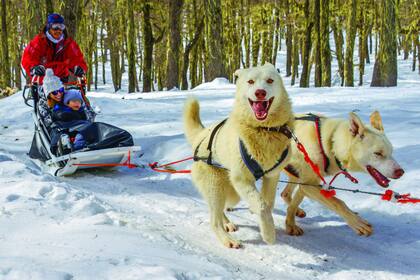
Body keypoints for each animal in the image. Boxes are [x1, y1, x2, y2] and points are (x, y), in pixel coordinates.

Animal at [184, 63, 296, 247]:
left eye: (269, 80)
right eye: (250, 81)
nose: (260, 93)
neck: (263, 129)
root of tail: (202, 135)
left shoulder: (272, 176)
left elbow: (268, 203)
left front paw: (263, 221)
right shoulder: (241, 179)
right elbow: (262, 206)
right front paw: (268, 234)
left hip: (230, 193)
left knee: (221, 210)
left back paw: (227, 223)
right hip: (217, 186)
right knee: (214, 220)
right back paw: (228, 240)